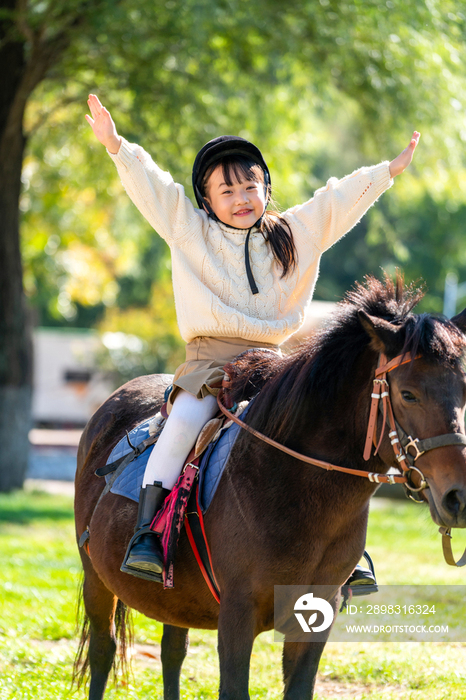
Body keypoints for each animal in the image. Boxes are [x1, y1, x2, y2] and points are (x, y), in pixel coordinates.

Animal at [74, 274, 466, 700]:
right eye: (408, 394)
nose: (458, 498)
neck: (298, 490)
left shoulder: (316, 616)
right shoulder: (237, 614)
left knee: (172, 651)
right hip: (96, 577)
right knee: (103, 650)